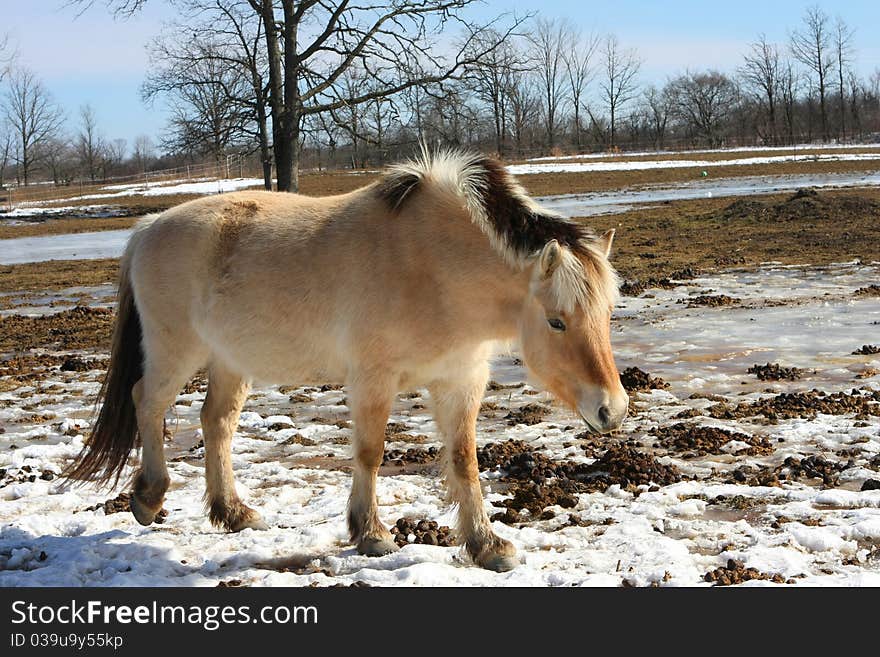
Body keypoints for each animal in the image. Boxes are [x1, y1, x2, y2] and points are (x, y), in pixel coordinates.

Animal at [69, 149, 628, 568]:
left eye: (606, 312)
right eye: (557, 321)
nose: (612, 410)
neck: (434, 266)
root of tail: (146, 228)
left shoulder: (460, 380)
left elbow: (465, 461)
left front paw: (487, 546)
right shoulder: (373, 379)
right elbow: (370, 453)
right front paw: (371, 534)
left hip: (229, 361)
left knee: (217, 423)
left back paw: (234, 513)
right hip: (176, 351)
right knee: (148, 402)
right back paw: (149, 498)